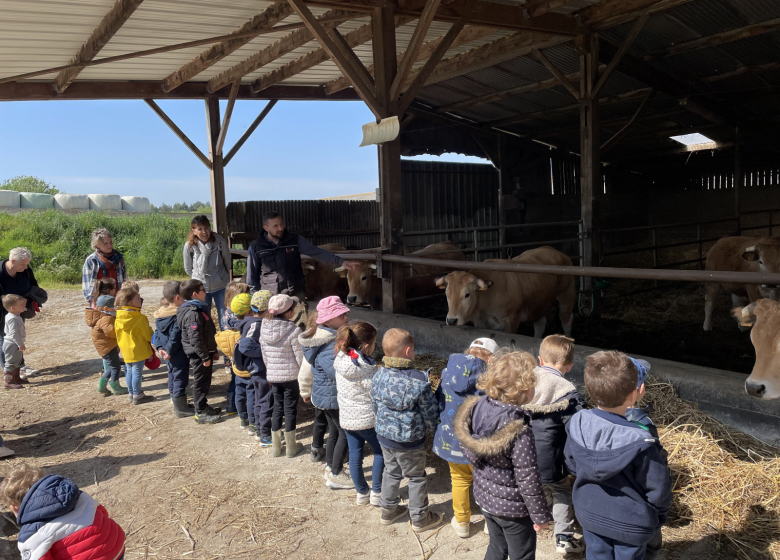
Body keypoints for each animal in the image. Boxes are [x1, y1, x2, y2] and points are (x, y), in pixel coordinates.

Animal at [436, 246, 576, 336]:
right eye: (447, 294)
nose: (451, 320)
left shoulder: (511, 321)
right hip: (539, 304)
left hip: (567, 297)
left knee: (567, 321)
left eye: (467, 294)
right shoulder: (483, 325)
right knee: (540, 325)